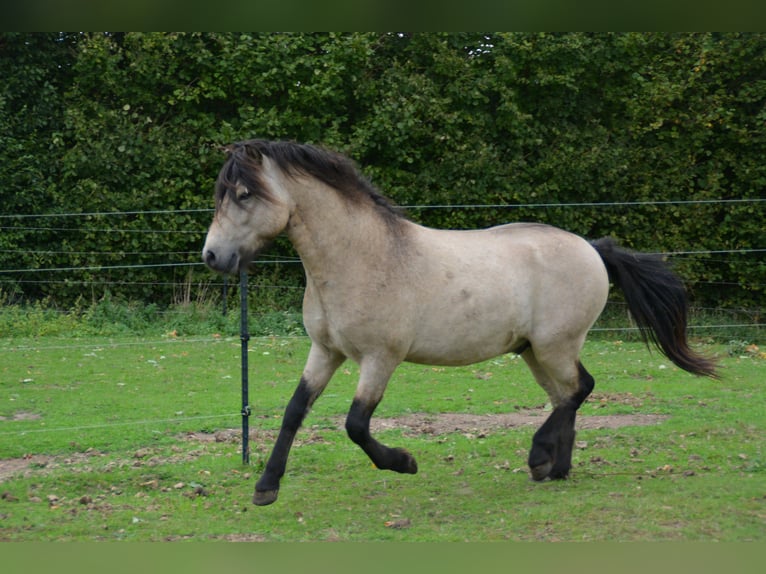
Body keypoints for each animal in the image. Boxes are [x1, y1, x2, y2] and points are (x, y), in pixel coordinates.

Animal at [202, 139, 717, 506]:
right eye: (222, 194)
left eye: (244, 194)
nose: (212, 257)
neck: (362, 256)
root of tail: (590, 247)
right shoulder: (326, 352)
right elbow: (294, 411)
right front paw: (266, 487)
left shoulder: (380, 359)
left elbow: (356, 424)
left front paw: (404, 462)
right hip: (536, 351)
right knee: (566, 397)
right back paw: (554, 469)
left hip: (557, 345)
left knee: (581, 389)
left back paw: (538, 456)